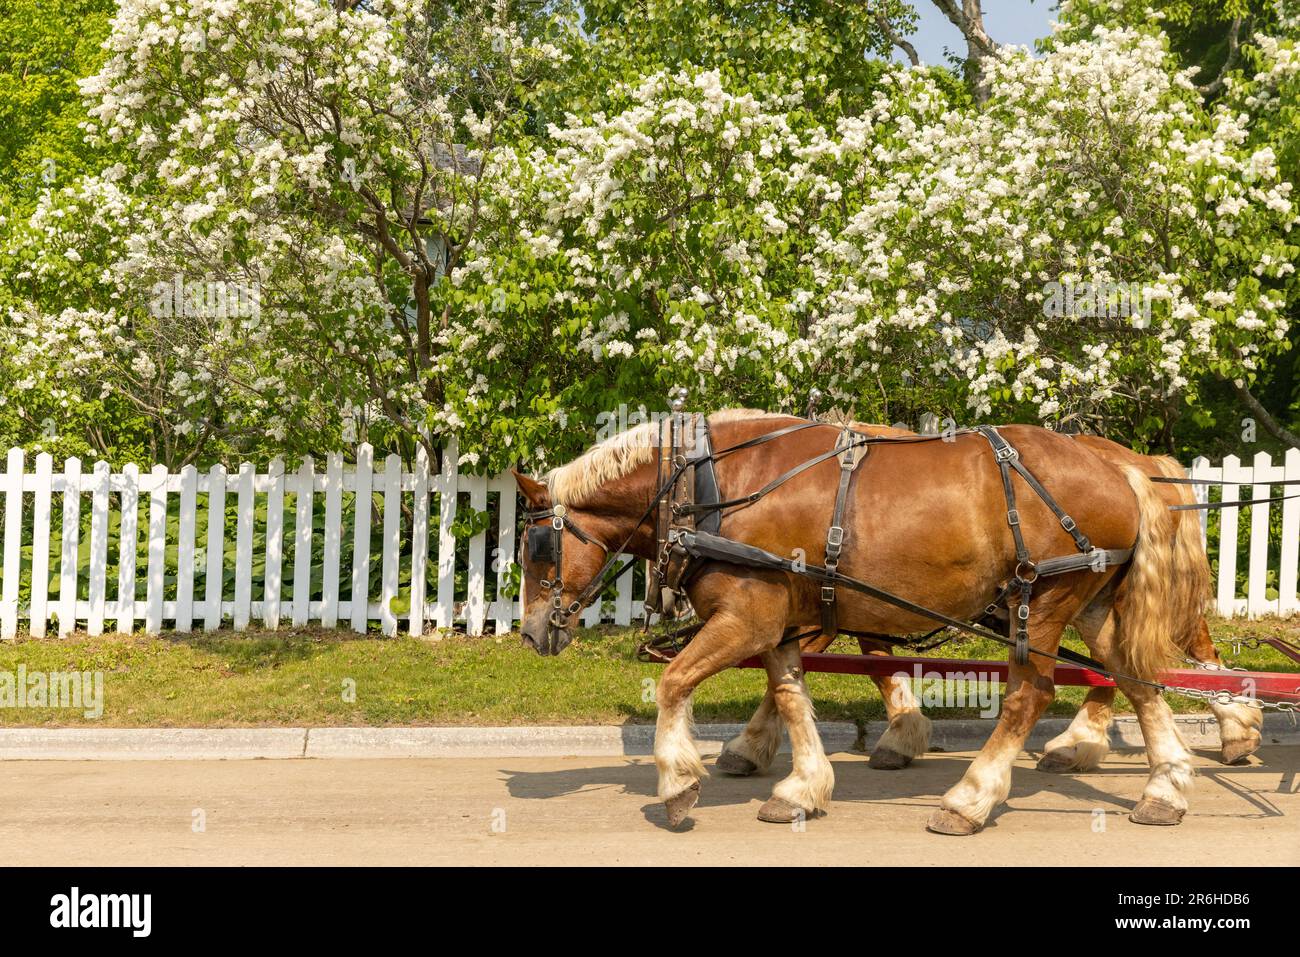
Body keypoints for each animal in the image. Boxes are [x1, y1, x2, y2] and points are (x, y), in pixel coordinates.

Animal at [512, 410, 1201, 837]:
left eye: (537, 549)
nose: (531, 632)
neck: (708, 487)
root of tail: (1119, 468)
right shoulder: (781, 626)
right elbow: (791, 696)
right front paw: (801, 786)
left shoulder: (746, 619)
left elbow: (674, 682)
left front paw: (678, 785)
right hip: (1092, 603)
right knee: (1134, 677)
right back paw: (1164, 789)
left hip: (1046, 600)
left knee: (1031, 694)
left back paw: (970, 799)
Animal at [717, 429, 1263, 774]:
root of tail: (1138, 465)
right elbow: (861, 662)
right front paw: (901, 732)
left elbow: (827, 664)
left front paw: (749, 745)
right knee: (1122, 666)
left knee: (1168, 651)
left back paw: (1233, 725)